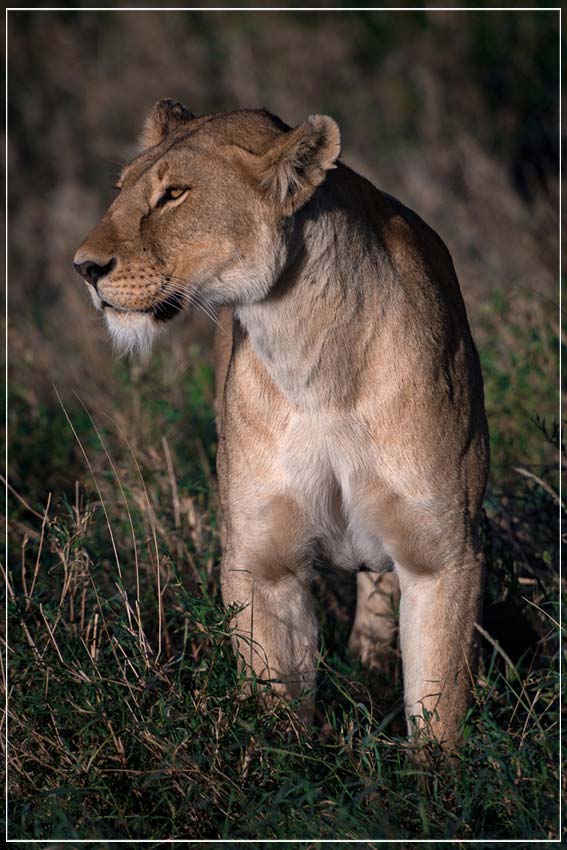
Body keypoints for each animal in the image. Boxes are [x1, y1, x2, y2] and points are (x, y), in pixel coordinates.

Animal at [74, 99, 489, 751]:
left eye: (174, 194)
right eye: (121, 191)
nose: (84, 268)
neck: (312, 362)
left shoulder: (445, 556)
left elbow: (439, 708)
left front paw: (434, 777)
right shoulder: (262, 562)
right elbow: (276, 708)